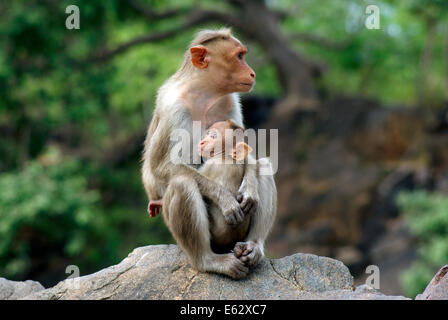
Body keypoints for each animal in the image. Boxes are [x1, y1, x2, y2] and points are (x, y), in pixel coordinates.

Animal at [143, 28, 276, 278]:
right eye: (239, 56)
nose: (252, 73)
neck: (204, 92)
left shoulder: (230, 100)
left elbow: (246, 150)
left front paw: (250, 188)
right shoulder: (174, 108)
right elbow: (160, 167)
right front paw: (224, 198)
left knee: (263, 165)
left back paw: (253, 247)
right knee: (182, 182)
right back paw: (207, 260)